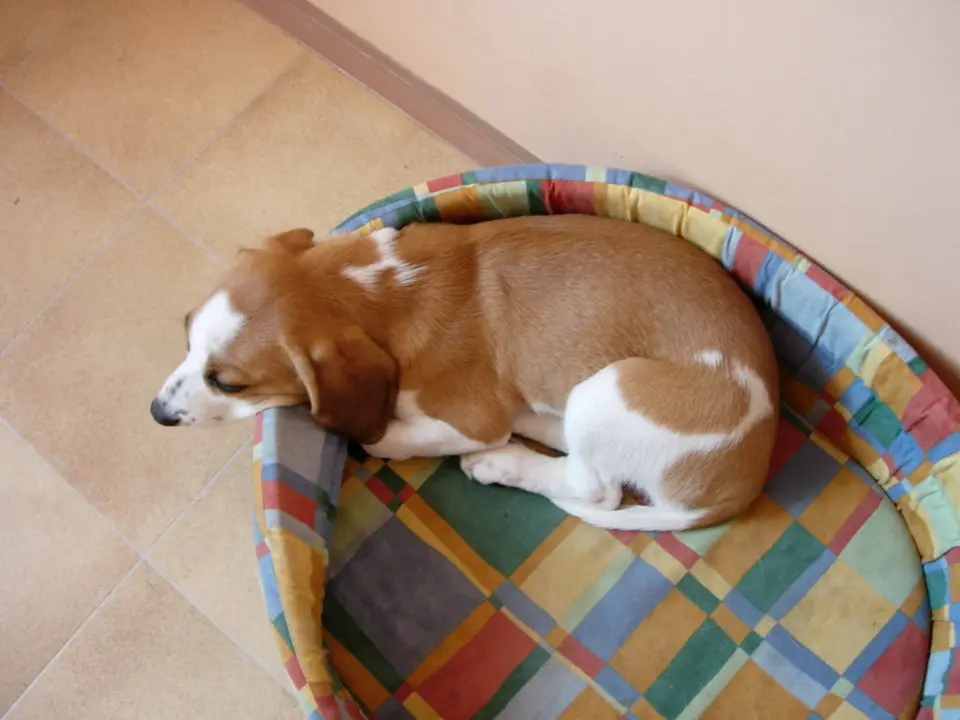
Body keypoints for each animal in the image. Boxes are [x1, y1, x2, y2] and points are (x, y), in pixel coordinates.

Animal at [151, 214, 779, 531]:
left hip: (610, 390)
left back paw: (501, 463)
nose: (158, 414)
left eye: (228, 383)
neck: (383, 284)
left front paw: (380, 434)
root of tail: (747, 477)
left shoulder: (471, 418)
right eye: (185, 336)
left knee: (596, 488)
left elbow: (384, 437)